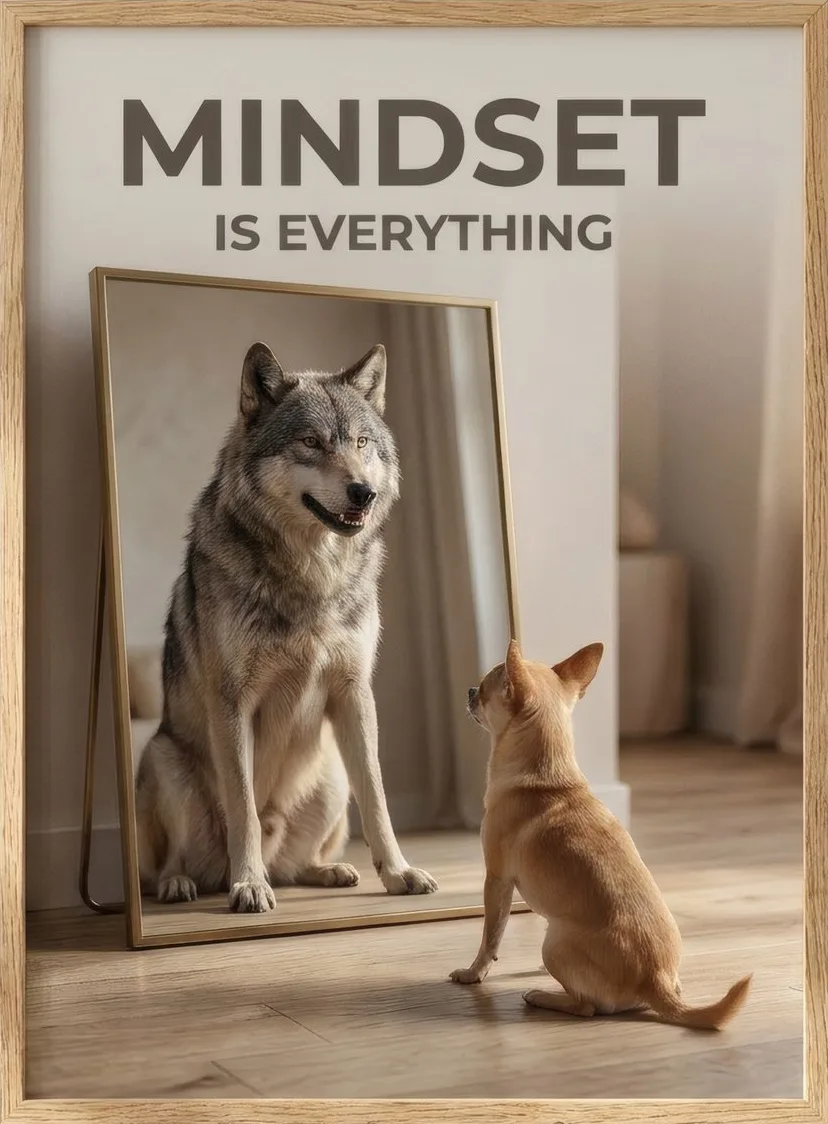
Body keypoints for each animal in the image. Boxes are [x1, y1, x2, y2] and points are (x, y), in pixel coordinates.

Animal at [135, 341, 438, 912]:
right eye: (311, 442)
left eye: (361, 442)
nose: (363, 492)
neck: (313, 575)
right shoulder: (233, 704)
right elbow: (244, 810)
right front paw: (250, 885)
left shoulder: (354, 695)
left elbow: (379, 800)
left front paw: (399, 873)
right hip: (164, 759)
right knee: (174, 861)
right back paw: (184, 884)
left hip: (333, 773)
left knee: (297, 865)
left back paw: (328, 871)